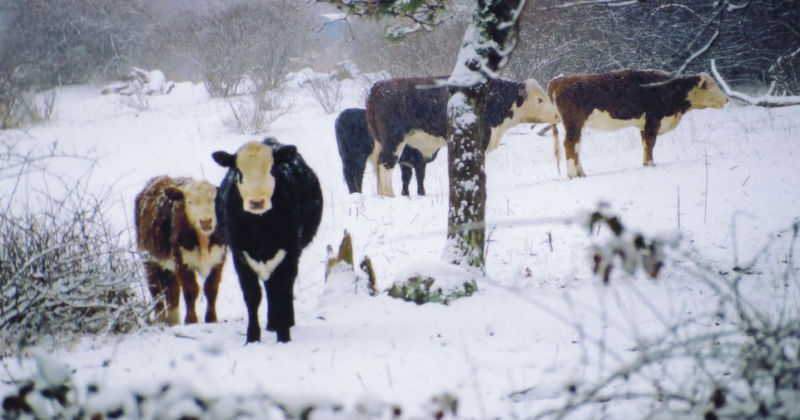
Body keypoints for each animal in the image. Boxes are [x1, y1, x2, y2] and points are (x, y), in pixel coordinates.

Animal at [133, 176, 223, 326]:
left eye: (214, 199)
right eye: (189, 201)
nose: (205, 221)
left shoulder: (218, 259)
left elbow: (211, 289)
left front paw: (212, 318)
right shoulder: (182, 261)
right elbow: (191, 290)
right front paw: (191, 320)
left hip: (170, 268)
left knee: (172, 293)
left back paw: (174, 321)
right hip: (150, 260)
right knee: (156, 291)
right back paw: (160, 320)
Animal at [216, 139, 324, 342]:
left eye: (271, 169)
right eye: (239, 172)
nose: (257, 202)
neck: (260, 228)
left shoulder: (289, 251)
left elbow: (281, 291)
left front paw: (284, 337)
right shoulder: (240, 255)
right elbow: (252, 296)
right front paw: (252, 338)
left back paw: (283, 323)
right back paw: (271, 325)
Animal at [548, 69, 728, 178]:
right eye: (710, 85)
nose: (726, 99)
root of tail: (560, 79)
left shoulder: (644, 125)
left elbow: (645, 144)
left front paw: (646, 163)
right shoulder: (652, 121)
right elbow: (650, 143)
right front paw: (650, 164)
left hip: (577, 125)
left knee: (577, 146)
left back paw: (581, 173)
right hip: (573, 122)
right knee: (570, 144)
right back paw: (572, 174)